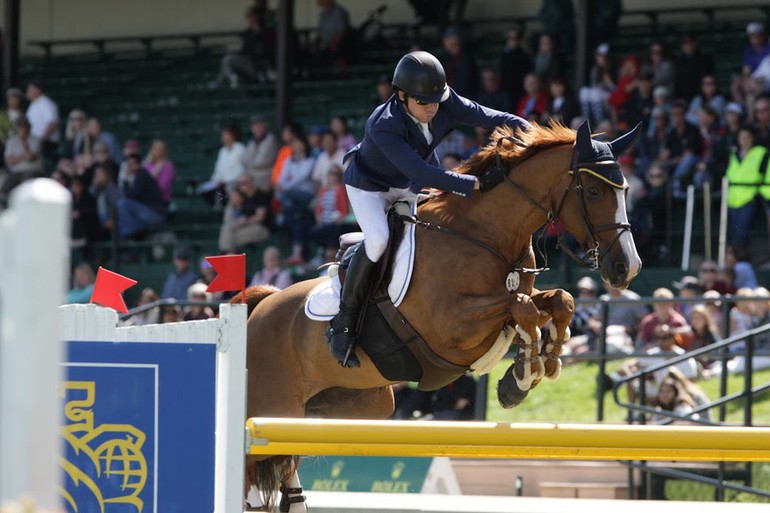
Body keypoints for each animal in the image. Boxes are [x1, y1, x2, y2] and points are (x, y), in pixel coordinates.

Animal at [238, 119, 640, 508]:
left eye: (625, 191)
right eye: (594, 191)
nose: (627, 268)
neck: (486, 234)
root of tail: (259, 310)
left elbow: (559, 300)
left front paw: (538, 363)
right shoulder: (450, 328)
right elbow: (521, 308)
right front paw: (524, 372)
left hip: (345, 410)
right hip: (271, 410)